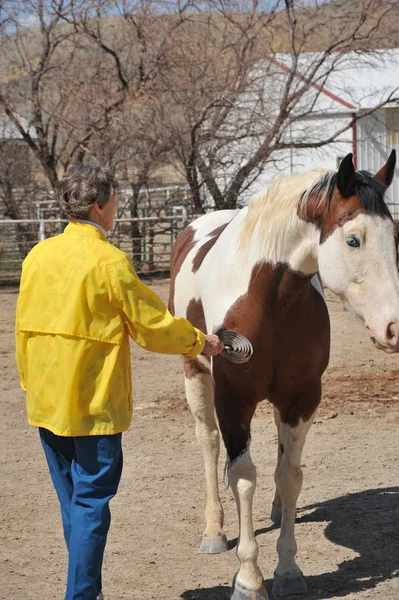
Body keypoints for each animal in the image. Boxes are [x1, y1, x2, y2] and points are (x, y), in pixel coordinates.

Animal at [168, 151, 399, 600]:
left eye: (394, 236)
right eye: (353, 240)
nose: (394, 328)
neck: (266, 299)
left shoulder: (302, 397)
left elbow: (290, 476)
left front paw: (289, 570)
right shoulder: (232, 400)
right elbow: (242, 477)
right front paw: (249, 579)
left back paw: (275, 510)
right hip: (195, 378)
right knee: (208, 444)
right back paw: (214, 531)